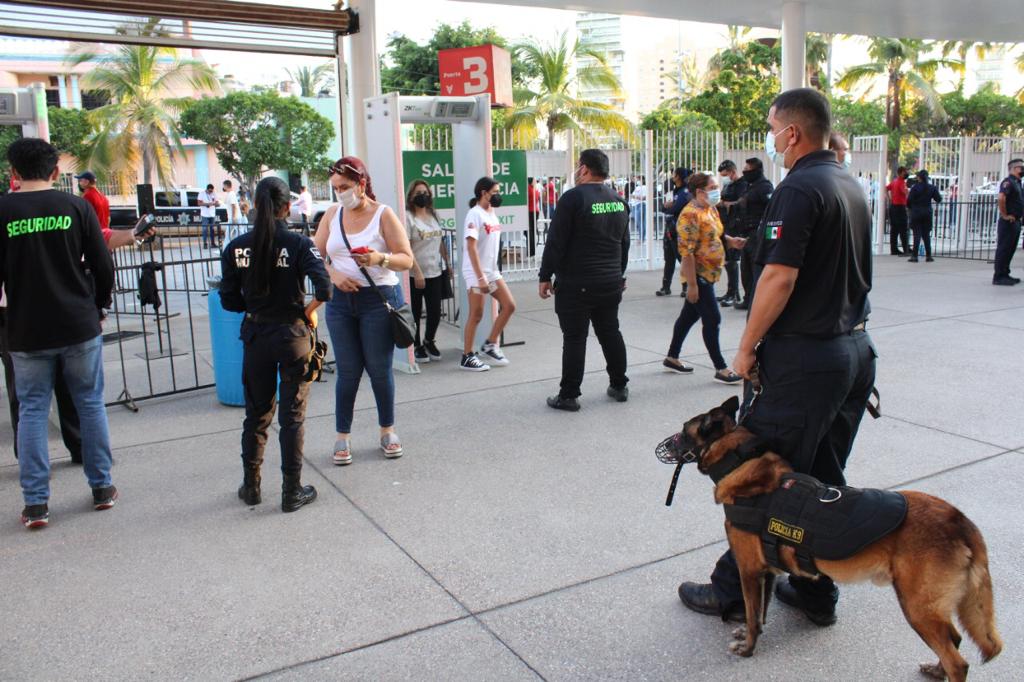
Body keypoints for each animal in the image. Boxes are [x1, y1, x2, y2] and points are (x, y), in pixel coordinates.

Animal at [662, 396, 1002, 682]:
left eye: (682, 432)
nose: (663, 445)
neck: (740, 462)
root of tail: (959, 520)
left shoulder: (748, 570)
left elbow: (752, 612)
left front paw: (747, 648)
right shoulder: (766, 571)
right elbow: (759, 613)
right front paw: (747, 632)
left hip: (917, 606)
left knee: (957, 660)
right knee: (954, 641)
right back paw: (935, 669)